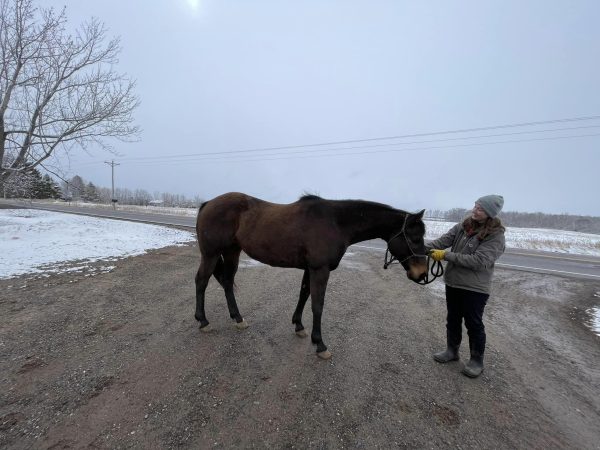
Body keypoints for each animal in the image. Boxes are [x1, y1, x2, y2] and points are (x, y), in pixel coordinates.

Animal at [195, 192, 428, 358]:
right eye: (414, 237)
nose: (422, 274)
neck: (335, 223)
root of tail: (208, 203)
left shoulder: (310, 269)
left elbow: (304, 295)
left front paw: (299, 326)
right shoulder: (319, 269)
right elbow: (318, 304)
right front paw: (320, 344)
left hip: (231, 252)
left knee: (227, 282)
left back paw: (238, 318)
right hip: (211, 254)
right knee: (201, 281)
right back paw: (203, 321)